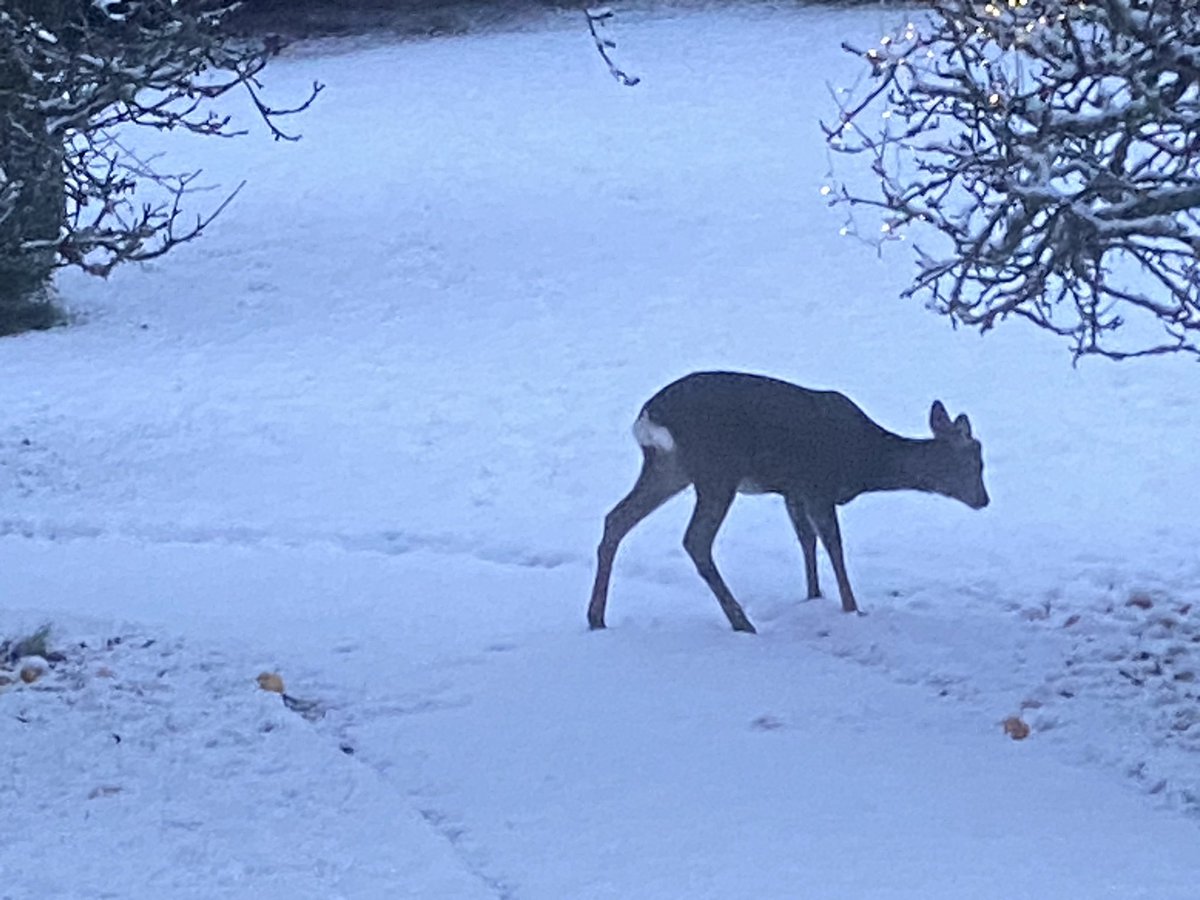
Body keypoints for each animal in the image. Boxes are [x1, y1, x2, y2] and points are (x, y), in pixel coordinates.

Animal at [587, 371, 989, 633]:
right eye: (975, 462)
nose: (983, 500)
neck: (865, 461)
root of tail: (648, 416)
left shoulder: (793, 490)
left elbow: (806, 541)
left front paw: (813, 597)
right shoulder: (818, 486)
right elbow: (833, 545)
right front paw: (852, 609)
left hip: (670, 467)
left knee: (616, 518)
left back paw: (596, 617)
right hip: (716, 469)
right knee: (695, 540)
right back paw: (742, 622)